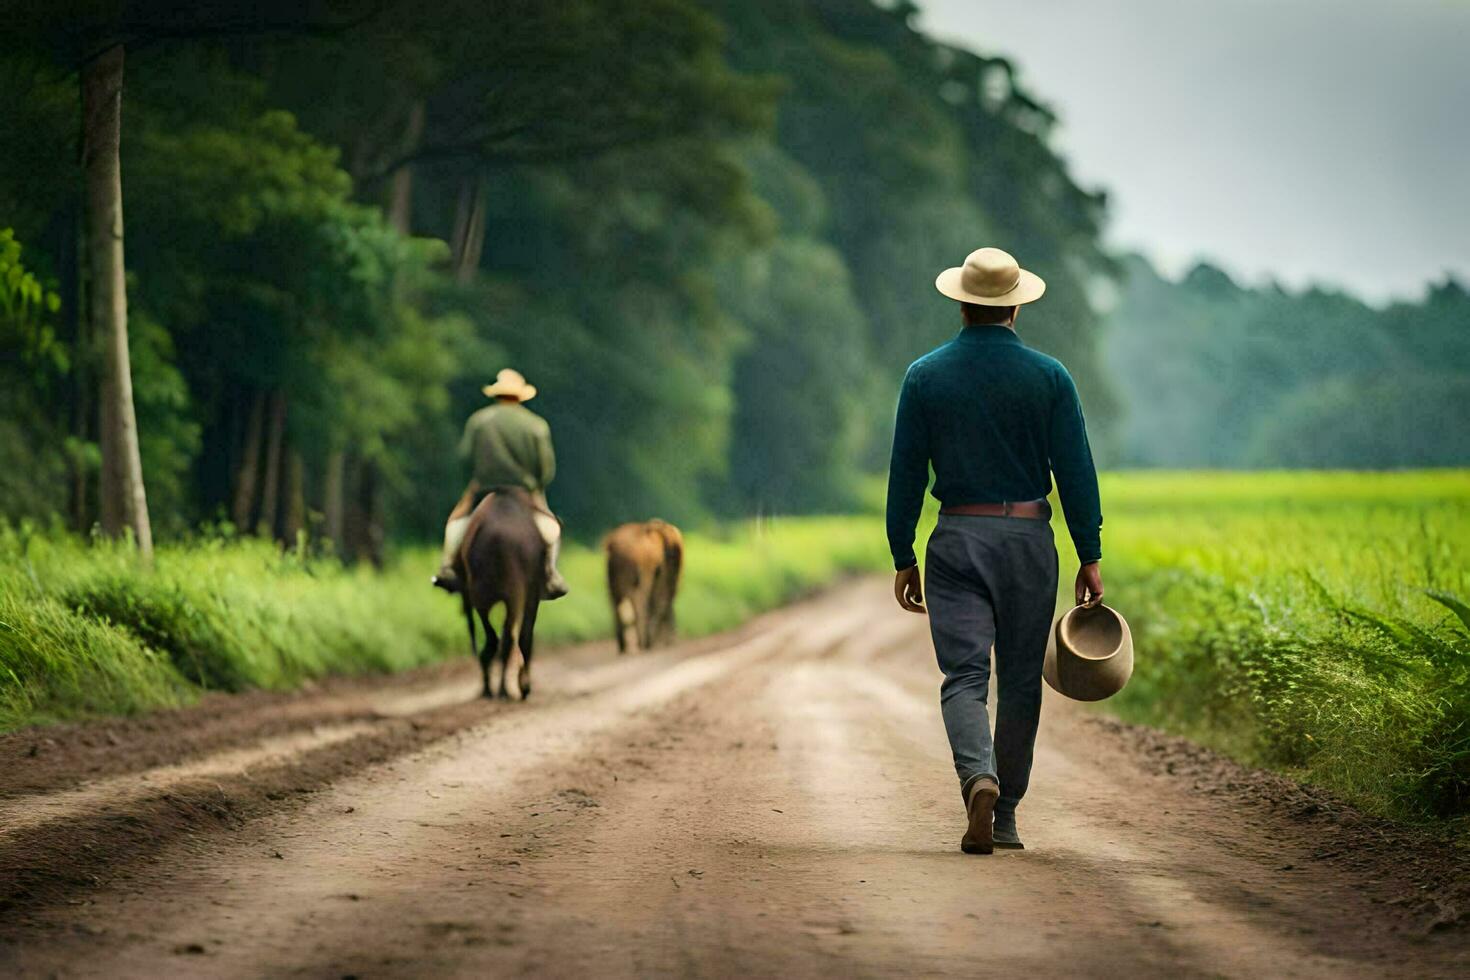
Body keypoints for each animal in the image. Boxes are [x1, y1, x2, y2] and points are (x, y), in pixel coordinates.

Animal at [452, 487, 546, 696]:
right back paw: (509, 687)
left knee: (498, 636)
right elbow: (522, 634)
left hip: (483, 594)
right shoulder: (529, 593)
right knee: (511, 636)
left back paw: (493, 686)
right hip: (512, 592)